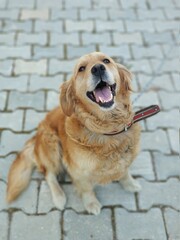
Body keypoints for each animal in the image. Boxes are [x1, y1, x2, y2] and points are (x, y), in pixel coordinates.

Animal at [6, 51, 141, 215]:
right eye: (81, 68)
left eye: (106, 61)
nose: (98, 68)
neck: (109, 129)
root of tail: (36, 137)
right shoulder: (77, 171)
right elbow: (86, 188)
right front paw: (91, 203)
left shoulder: (126, 157)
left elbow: (125, 170)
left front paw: (130, 184)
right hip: (51, 143)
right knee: (49, 174)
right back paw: (59, 197)